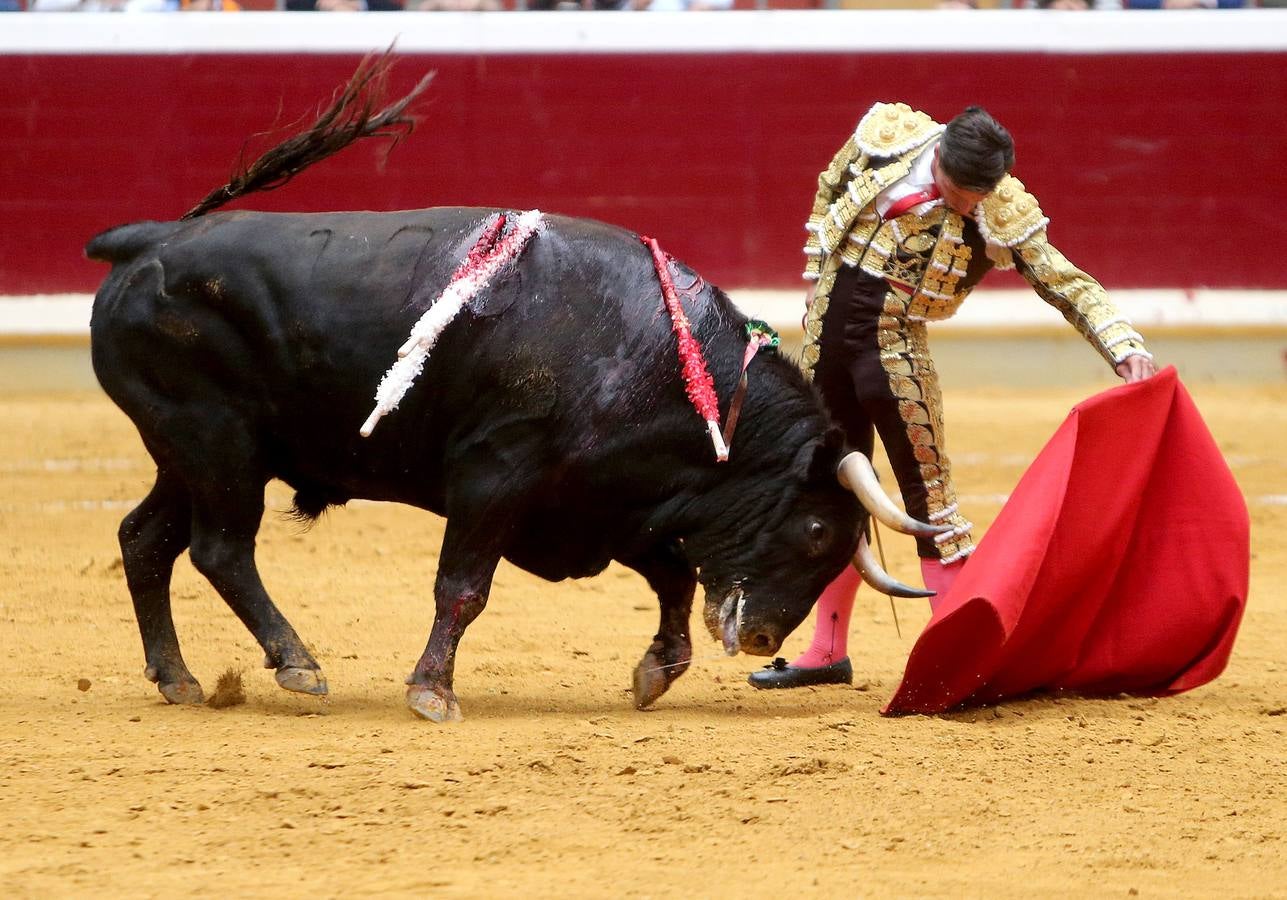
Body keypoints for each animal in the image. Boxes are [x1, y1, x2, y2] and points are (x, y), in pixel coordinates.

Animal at [88, 207, 864, 721]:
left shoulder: (597, 506)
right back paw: (297, 664)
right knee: (221, 549)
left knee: (145, 538)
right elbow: (462, 587)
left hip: (187, 456)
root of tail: (151, 239)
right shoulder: (497, 477)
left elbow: (671, 575)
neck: (656, 356)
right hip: (217, 443)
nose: (765, 639)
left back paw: (178, 678)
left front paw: (656, 672)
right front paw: (432, 691)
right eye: (817, 532)